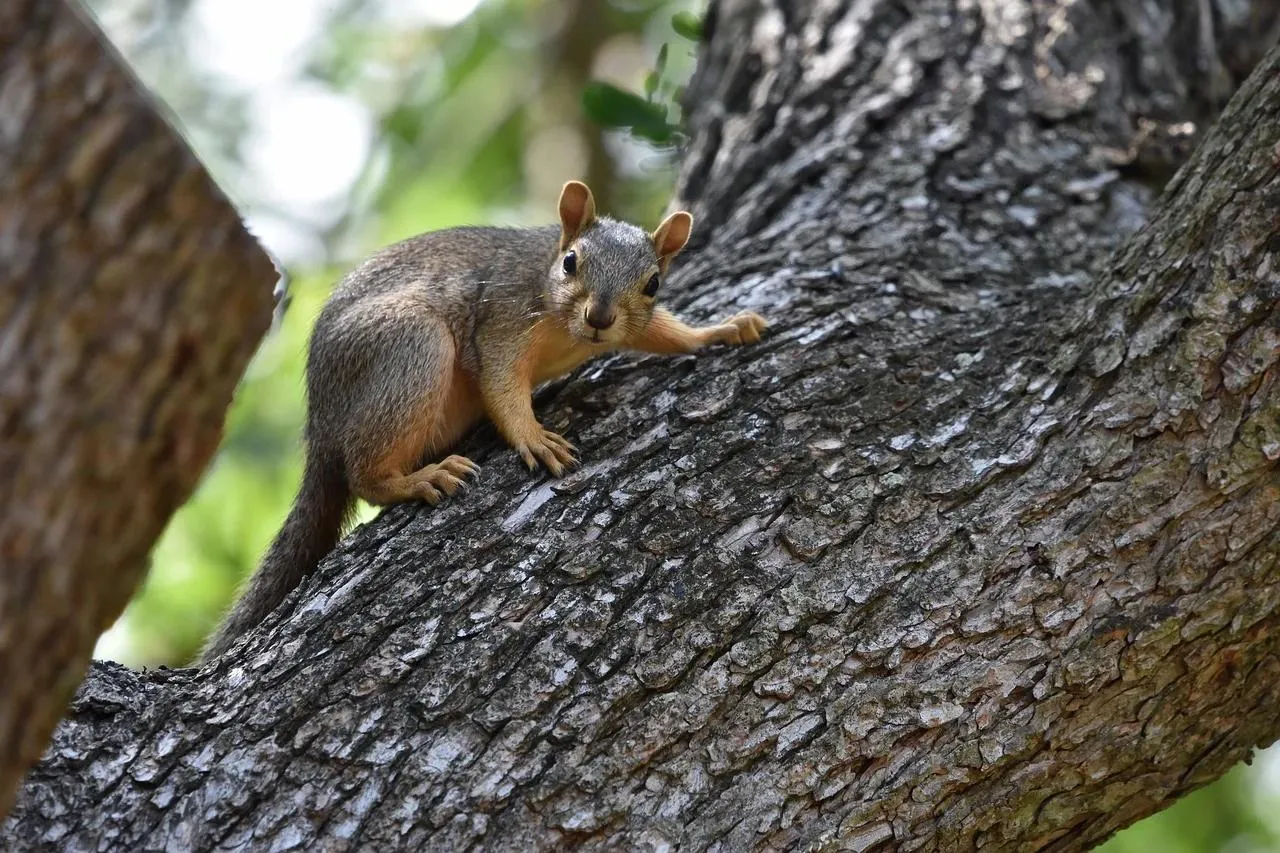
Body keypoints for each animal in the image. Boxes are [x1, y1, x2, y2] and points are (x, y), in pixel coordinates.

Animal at [201, 181, 768, 661]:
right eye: (571, 262)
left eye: (653, 284)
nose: (601, 318)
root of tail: (319, 420)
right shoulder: (502, 316)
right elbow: (500, 384)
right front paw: (534, 437)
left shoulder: (632, 326)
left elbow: (666, 334)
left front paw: (723, 330)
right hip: (411, 345)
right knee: (364, 475)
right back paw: (415, 480)